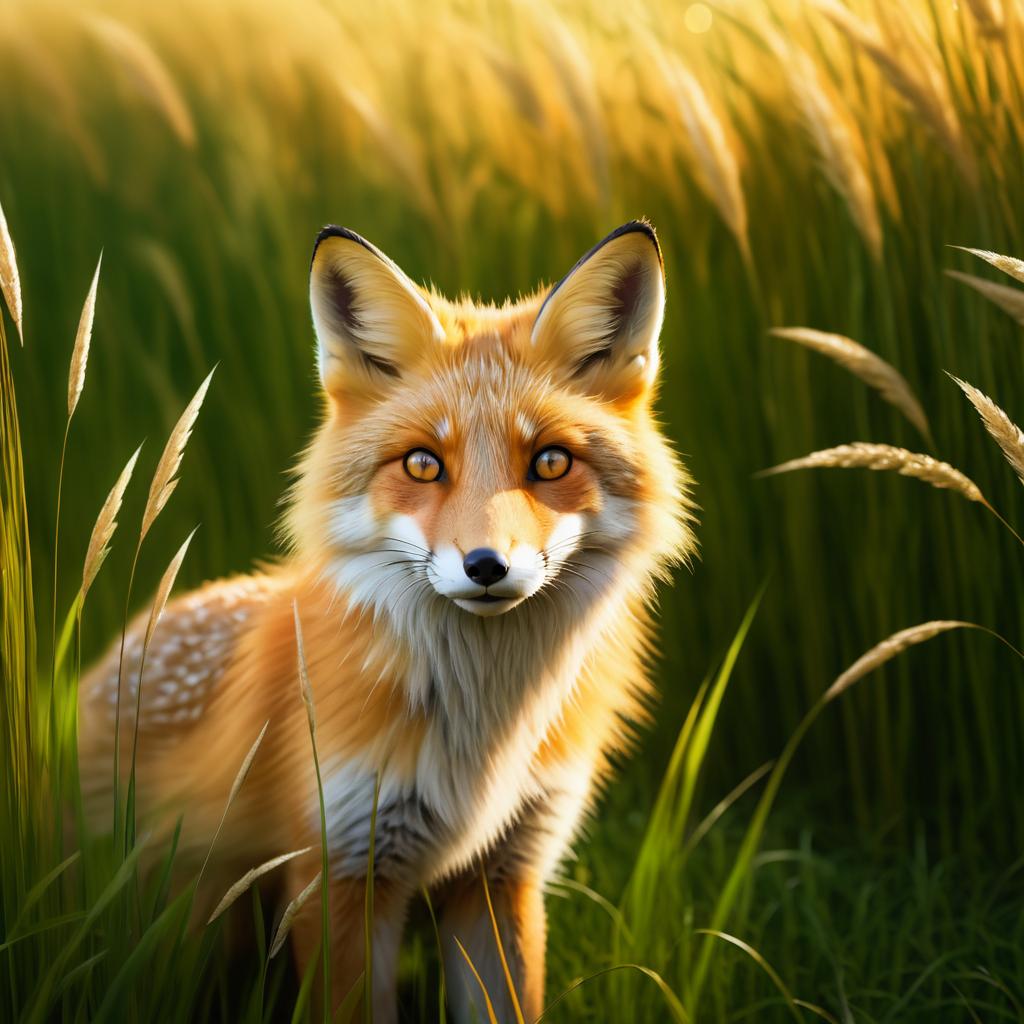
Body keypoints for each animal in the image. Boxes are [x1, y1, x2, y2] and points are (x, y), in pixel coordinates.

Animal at [75, 220, 692, 1019]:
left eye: (551, 463)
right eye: (424, 465)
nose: (487, 566)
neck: (482, 738)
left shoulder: (505, 872)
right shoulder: (337, 871)